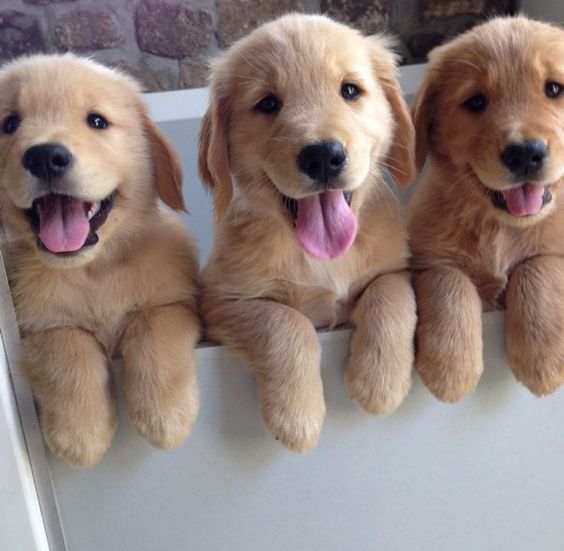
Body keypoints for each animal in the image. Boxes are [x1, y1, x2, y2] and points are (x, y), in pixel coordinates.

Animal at [0, 54, 202, 468]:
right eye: (9, 124)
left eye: (96, 121)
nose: (45, 156)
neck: (93, 270)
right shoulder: (38, 327)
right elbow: (67, 350)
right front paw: (81, 434)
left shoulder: (175, 301)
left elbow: (153, 328)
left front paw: (165, 416)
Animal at [198, 14, 414, 452]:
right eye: (267, 103)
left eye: (350, 90)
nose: (323, 156)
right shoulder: (223, 300)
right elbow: (285, 324)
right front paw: (297, 417)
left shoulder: (396, 268)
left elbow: (390, 296)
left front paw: (379, 382)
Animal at [408, 16, 564, 402]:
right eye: (476, 102)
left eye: (554, 89)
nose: (525, 153)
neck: (501, 227)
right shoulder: (428, 260)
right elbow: (449, 282)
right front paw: (450, 367)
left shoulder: (555, 255)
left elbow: (537, 266)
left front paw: (543, 358)